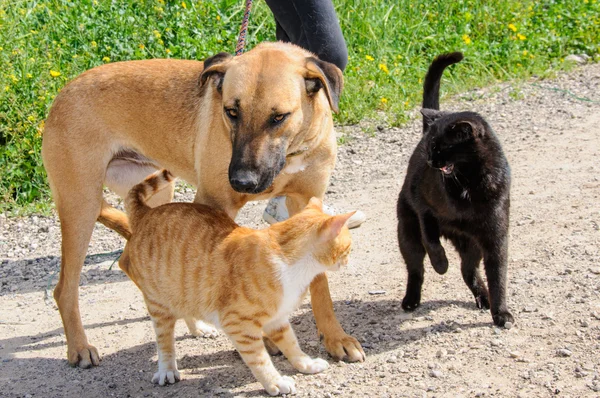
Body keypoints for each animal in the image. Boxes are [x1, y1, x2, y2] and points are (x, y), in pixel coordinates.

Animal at [42, 42, 366, 368]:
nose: (241, 181)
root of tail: (61, 94)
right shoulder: (214, 204)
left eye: (278, 117)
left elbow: (320, 281)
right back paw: (80, 347)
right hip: (81, 207)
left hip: (157, 194)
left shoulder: (308, 202)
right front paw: (266, 337)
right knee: (65, 289)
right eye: (231, 111)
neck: (291, 152)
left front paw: (335, 337)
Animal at [119, 169, 354, 396]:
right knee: (164, 341)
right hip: (158, 304)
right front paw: (275, 382)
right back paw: (167, 370)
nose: (348, 261)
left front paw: (306, 363)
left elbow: (291, 344)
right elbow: (260, 359)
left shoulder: (277, 319)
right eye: (348, 247)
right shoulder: (239, 325)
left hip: (182, 289)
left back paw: (200, 329)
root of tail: (146, 212)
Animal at [396, 52, 512, 326]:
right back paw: (411, 300)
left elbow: (499, 277)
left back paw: (483, 298)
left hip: (473, 244)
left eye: (439, 147)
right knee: (416, 268)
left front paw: (501, 313)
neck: (468, 183)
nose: (429, 160)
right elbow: (431, 240)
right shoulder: (422, 205)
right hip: (406, 230)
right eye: (429, 146)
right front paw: (440, 264)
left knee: (468, 270)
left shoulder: (495, 236)